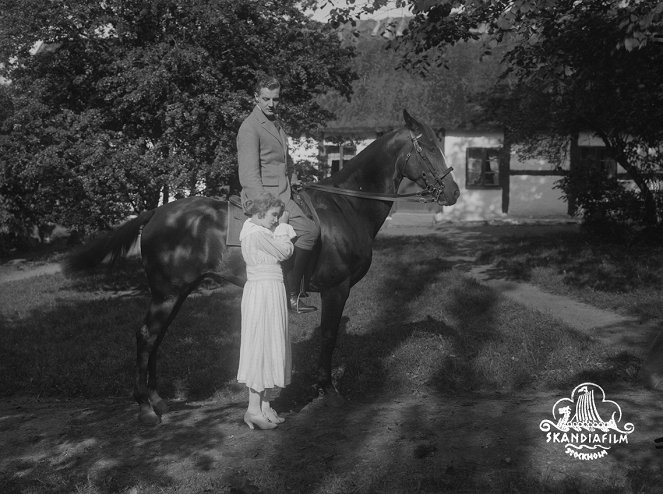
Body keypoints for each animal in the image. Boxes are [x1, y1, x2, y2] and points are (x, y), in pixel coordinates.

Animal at [65, 111, 460, 424]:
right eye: (428, 147)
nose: (454, 192)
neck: (345, 206)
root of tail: (157, 213)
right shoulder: (337, 289)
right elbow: (329, 338)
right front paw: (327, 391)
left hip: (177, 293)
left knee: (156, 338)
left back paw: (158, 400)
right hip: (167, 293)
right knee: (147, 336)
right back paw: (145, 407)